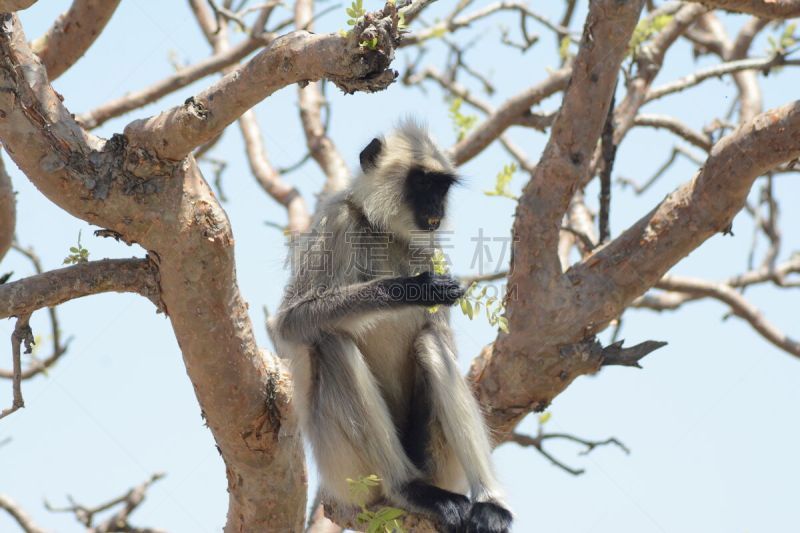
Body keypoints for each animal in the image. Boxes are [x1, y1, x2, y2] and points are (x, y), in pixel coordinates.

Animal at [272, 120, 512, 532]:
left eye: (441, 187)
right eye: (422, 183)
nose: (436, 207)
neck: (383, 231)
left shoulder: (431, 250)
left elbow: (441, 337)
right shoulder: (337, 220)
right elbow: (289, 322)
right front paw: (410, 289)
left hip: (441, 461)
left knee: (431, 342)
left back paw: (489, 504)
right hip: (346, 471)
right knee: (332, 342)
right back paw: (409, 488)